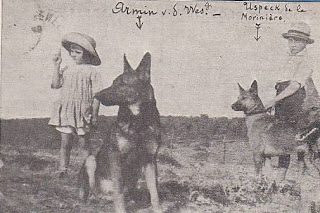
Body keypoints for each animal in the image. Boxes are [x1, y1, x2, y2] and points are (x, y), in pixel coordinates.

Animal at [78, 52, 162, 213]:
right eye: (113, 82)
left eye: (122, 84)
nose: (96, 95)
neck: (137, 122)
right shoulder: (115, 158)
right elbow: (119, 192)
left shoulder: (150, 160)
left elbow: (154, 191)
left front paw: (158, 209)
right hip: (90, 160)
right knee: (92, 191)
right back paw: (94, 199)